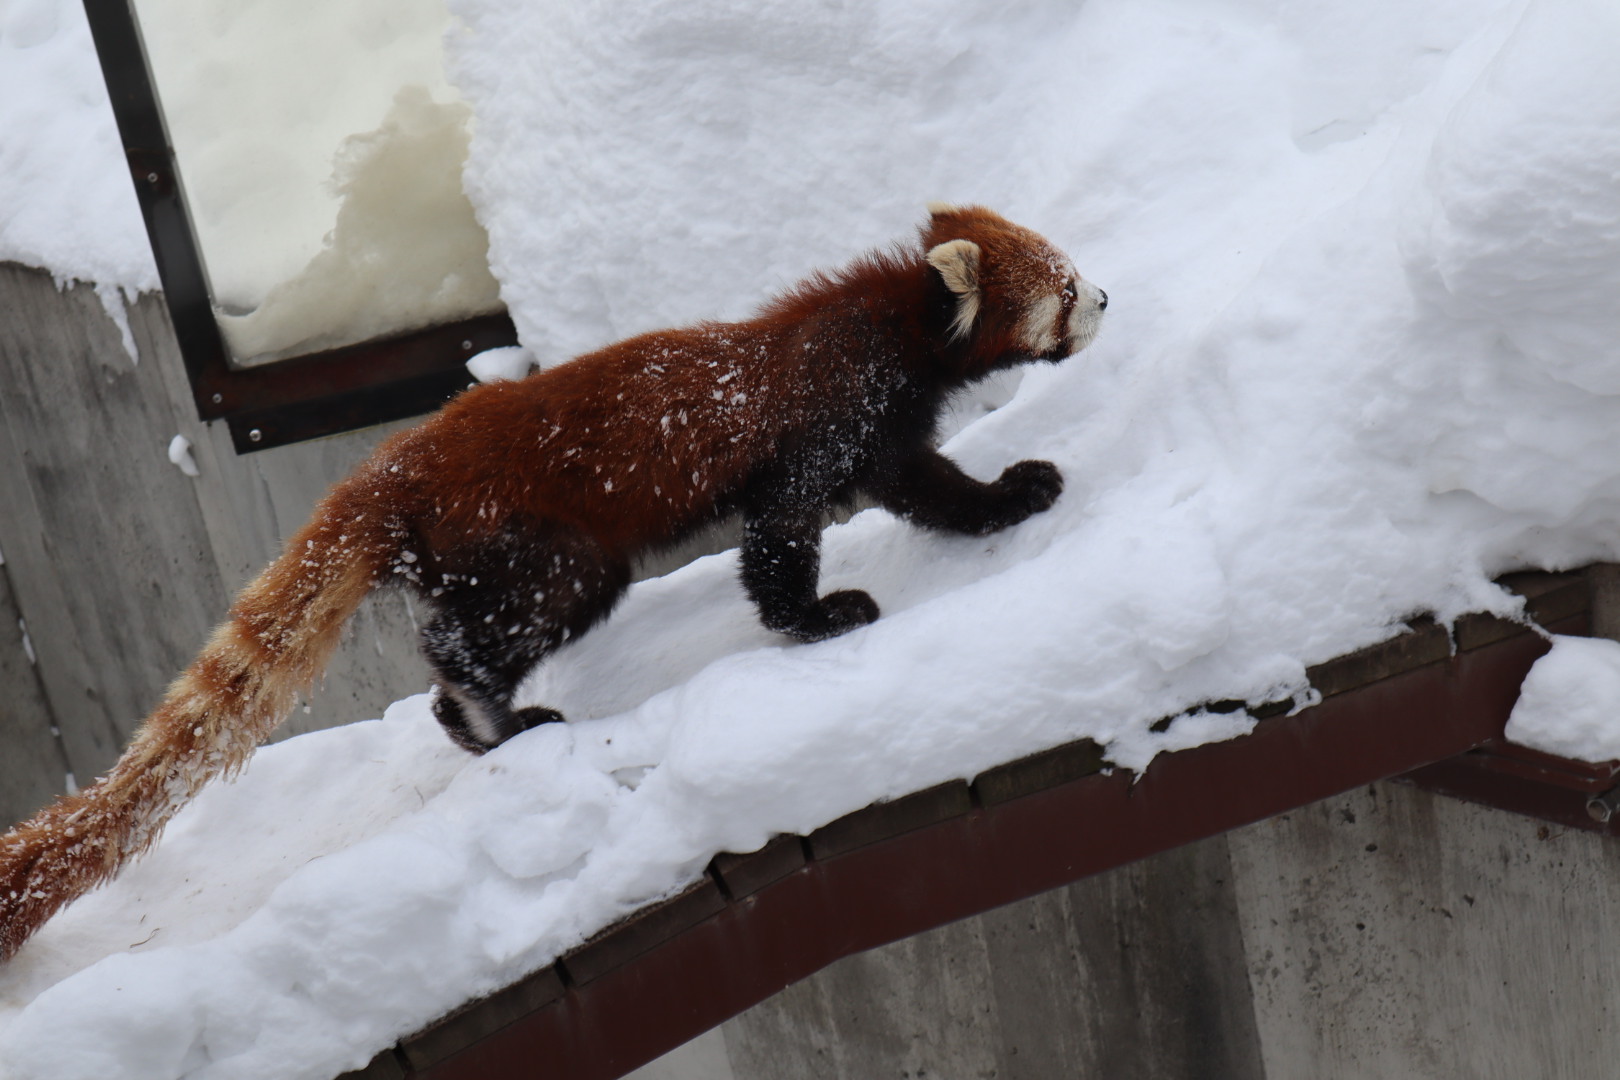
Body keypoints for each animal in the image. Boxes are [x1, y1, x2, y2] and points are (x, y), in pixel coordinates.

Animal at [0, 204, 1101, 965]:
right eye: (1063, 284)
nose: (1107, 301)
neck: (891, 325)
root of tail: (400, 460)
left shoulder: (883, 431)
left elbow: (924, 488)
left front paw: (1004, 495)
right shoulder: (826, 422)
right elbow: (785, 541)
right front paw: (830, 613)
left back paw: (470, 724)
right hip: (544, 546)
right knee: (488, 629)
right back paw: (492, 711)